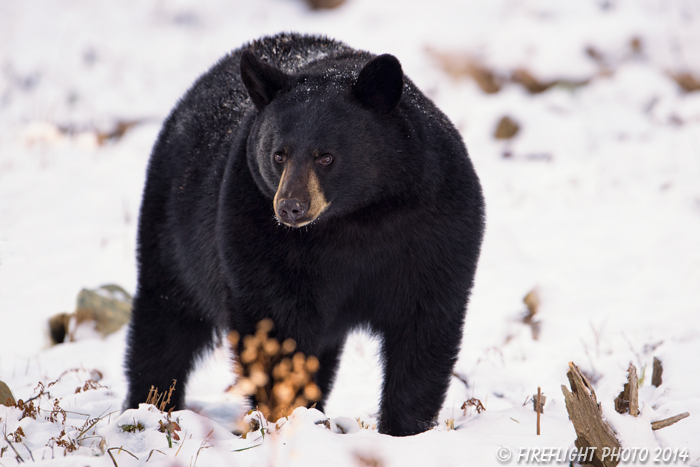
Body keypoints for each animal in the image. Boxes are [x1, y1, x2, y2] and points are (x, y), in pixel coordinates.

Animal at [126, 33, 484, 438]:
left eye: (325, 156)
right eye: (278, 154)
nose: (290, 208)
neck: (357, 219)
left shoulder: (438, 227)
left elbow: (424, 326)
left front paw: (407, 430)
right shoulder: (256, 232)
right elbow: (276, 328)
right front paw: (284, 417)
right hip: (172, 232)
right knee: (164, 323)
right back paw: (150, 406)